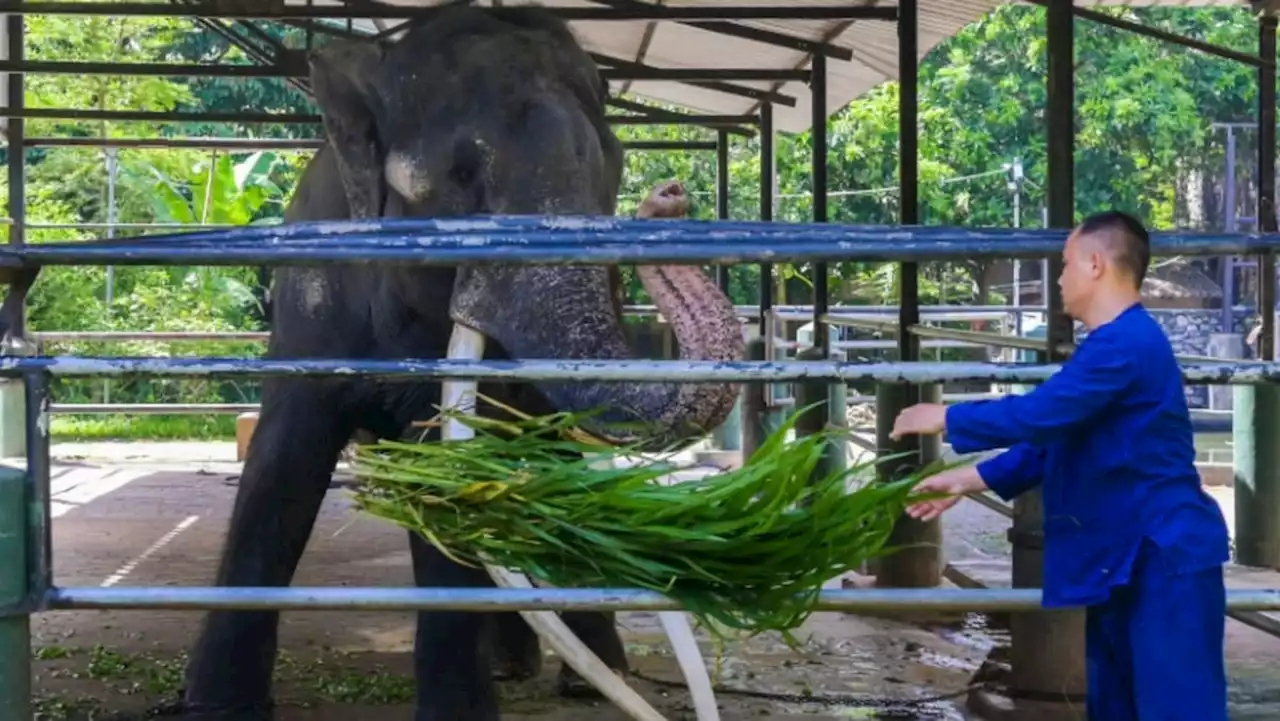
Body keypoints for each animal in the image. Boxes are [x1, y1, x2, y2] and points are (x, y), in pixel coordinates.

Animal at [168, 5, 747, 721]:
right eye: (463, 176)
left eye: (609, 173)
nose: (668, 196)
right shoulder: (311, 296)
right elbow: (282, 462)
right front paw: (213, 705)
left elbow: (448, 474)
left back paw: (579, 677)